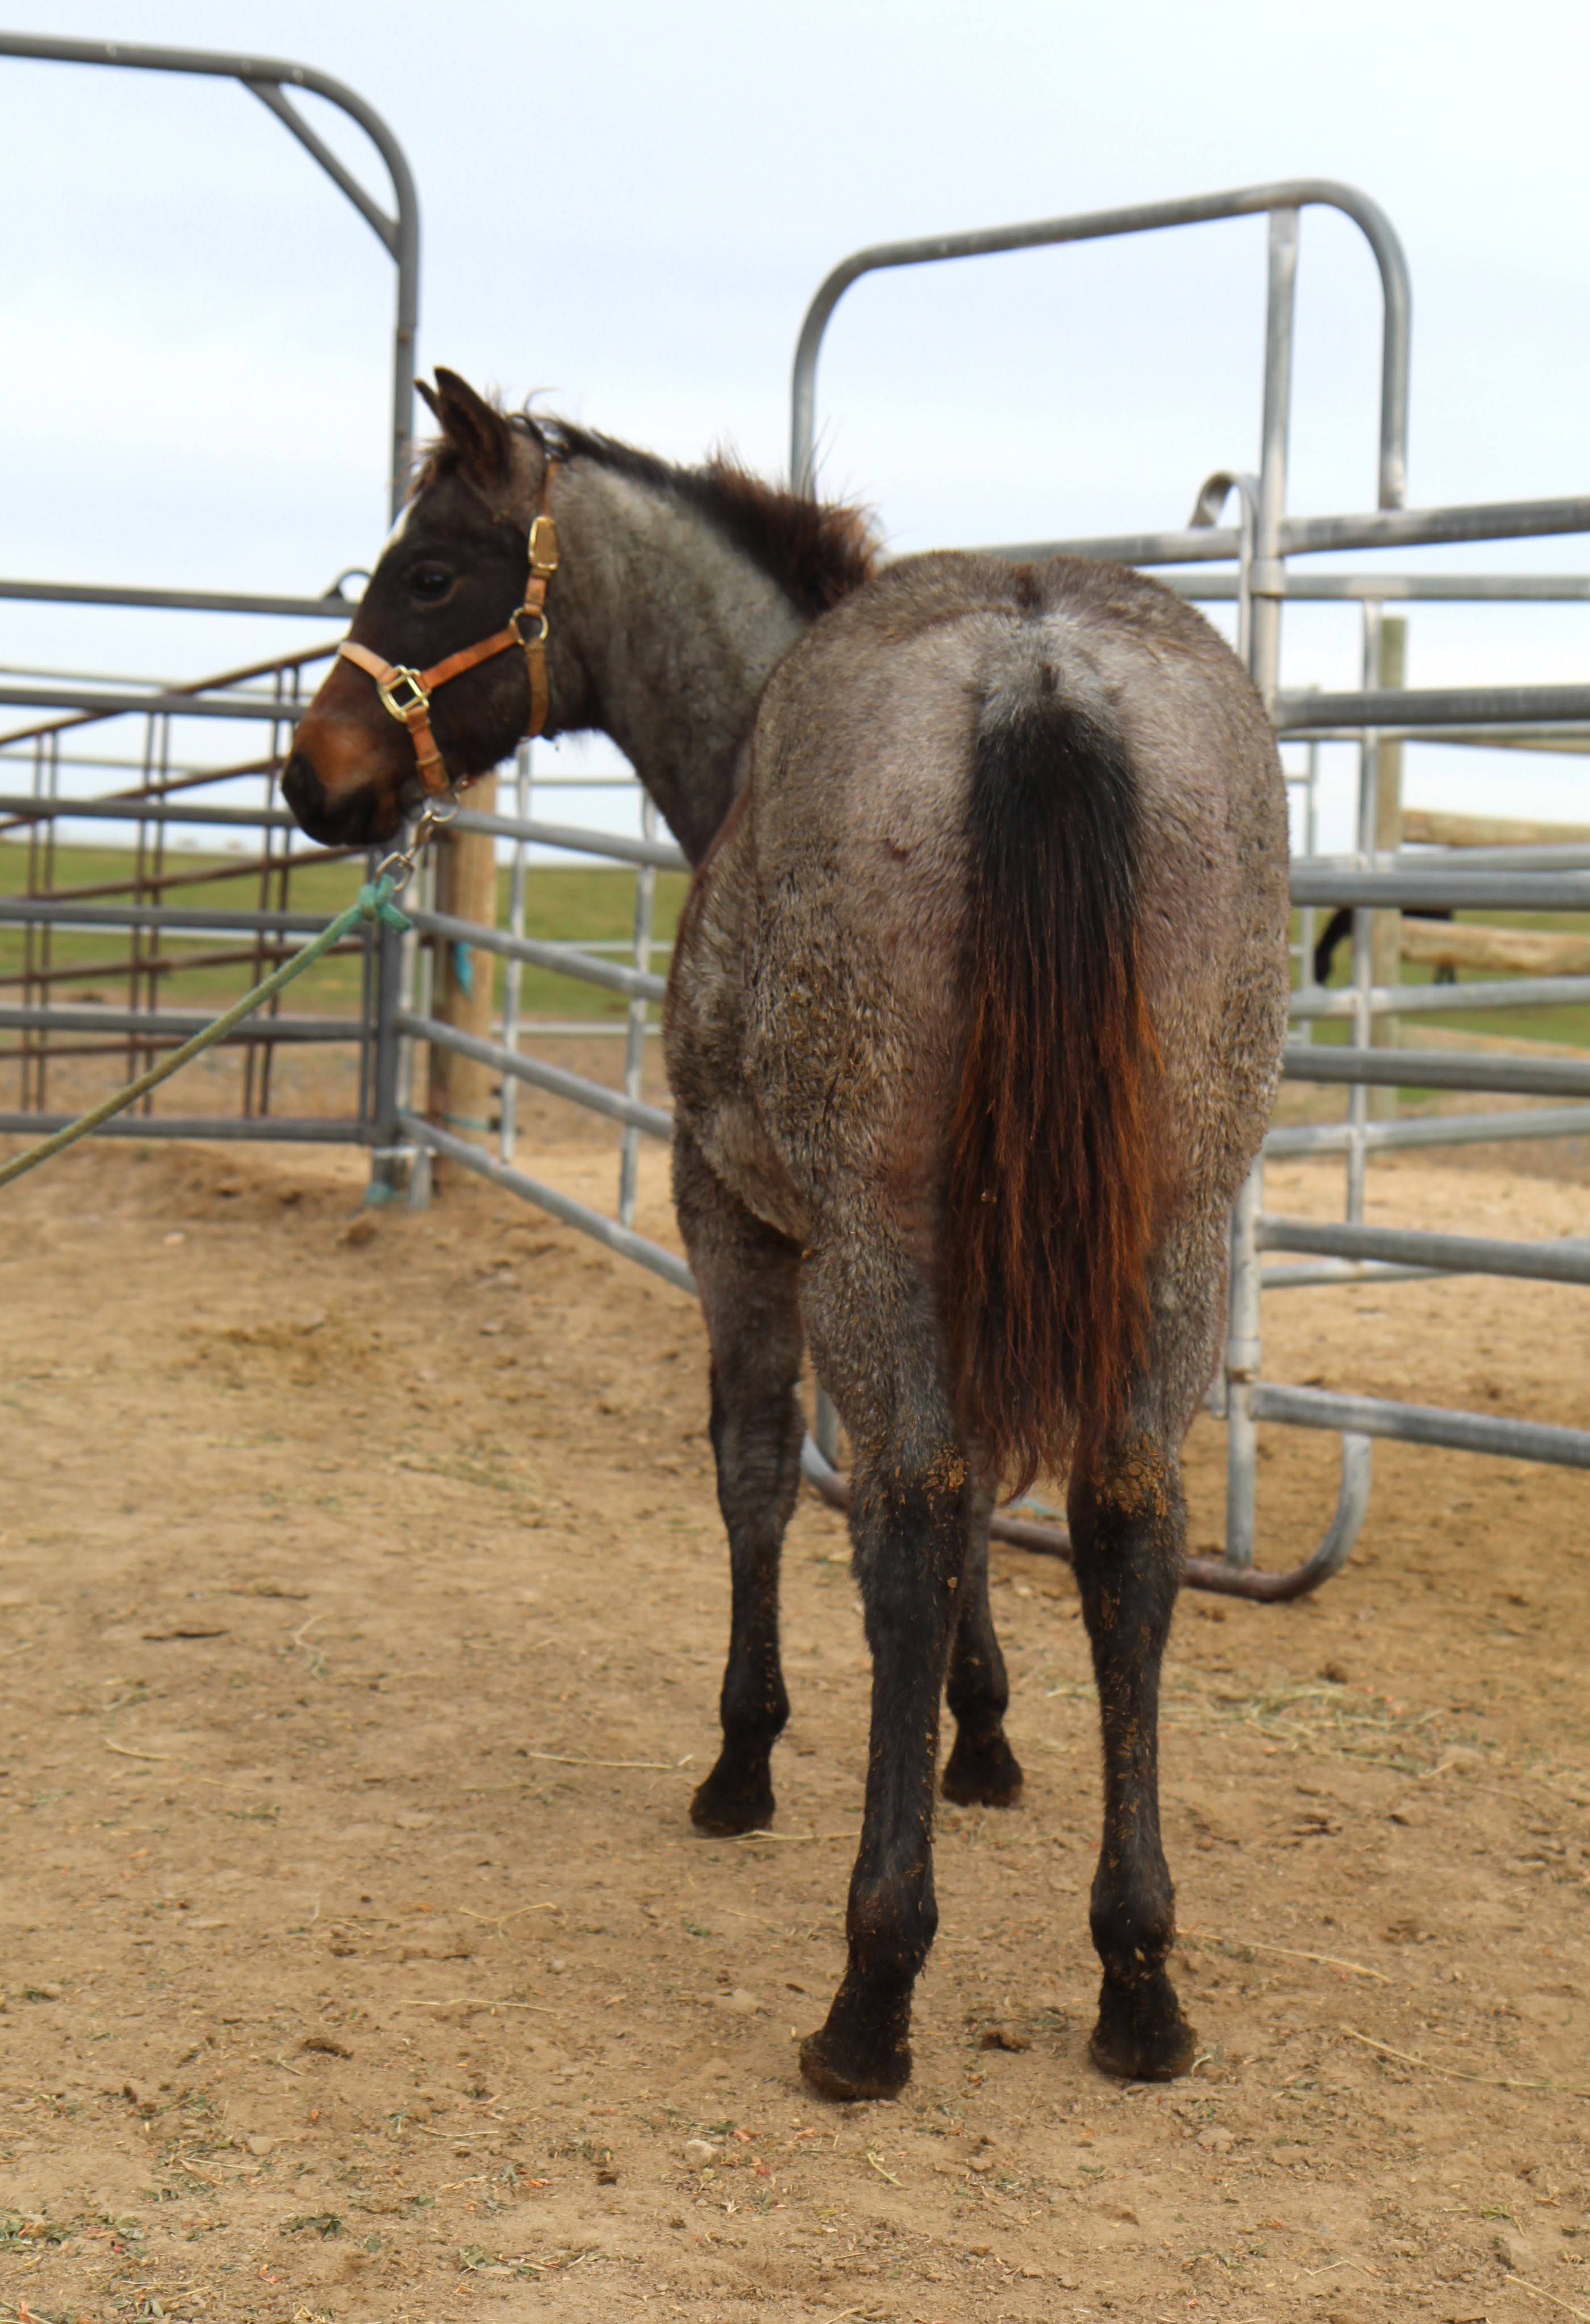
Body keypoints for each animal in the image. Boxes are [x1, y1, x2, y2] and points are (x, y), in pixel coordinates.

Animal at [284, 370, 1291, 2102]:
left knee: (899, 1514)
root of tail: (1035, 670)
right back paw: (1136, 1979)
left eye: (427, 569)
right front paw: (983, 1737)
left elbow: (758, 1469)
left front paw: (742, 1756)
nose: (314, 773)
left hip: (877, 1234)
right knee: (1123, 1525)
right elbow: (984, 1516)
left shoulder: (739, 1218)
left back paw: (870, 1988)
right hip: (1173, 1233)